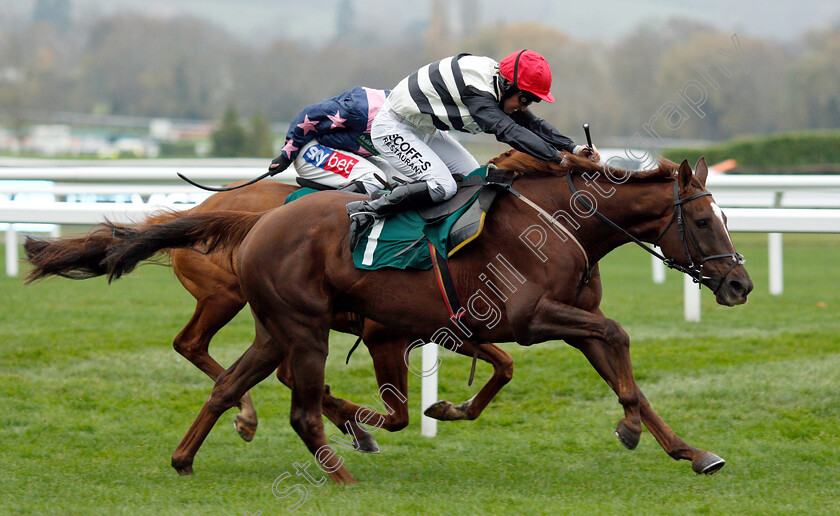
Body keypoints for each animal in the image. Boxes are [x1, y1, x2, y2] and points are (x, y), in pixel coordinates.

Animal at [24, 179, 512, 450]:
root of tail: (198, 211)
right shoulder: (385, 334)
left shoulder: (447, 323)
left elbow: (502, 362)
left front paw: (450, 407)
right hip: (226, 295)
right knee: (193, 344)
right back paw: (249, 415)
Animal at [100, 151, 756, 482]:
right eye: (703, 220)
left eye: (724, 216)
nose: (740, 284)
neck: (560, 221)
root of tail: (253, 221)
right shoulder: (529, 317)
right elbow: (613, 338)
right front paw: (629, 429)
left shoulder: (550, 320)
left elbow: (620, 369)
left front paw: (689, 450)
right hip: (295, 326)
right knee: (289, 398)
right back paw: (339, 466)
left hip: (275, 325)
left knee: (230, 384)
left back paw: (189, 457)